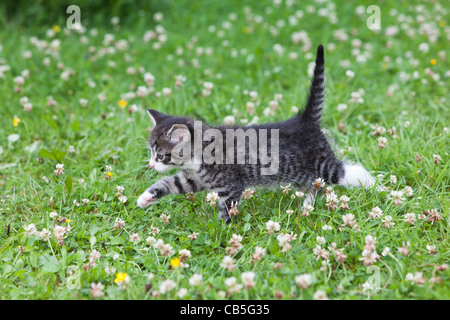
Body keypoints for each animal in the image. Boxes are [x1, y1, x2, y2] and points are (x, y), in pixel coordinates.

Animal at [137, 45, 376, 222]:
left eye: (160, 155)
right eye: (151, 153)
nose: (150, 165)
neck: (201, 152)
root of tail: (305, 120)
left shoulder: (231, 186)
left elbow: (226, 209)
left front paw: (222, 231)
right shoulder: (193, 178)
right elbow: (172, 183)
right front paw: (146, 197)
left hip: (323, 164)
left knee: (343, 172)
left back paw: (371, 183)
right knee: (314, 185)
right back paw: (307, 205)